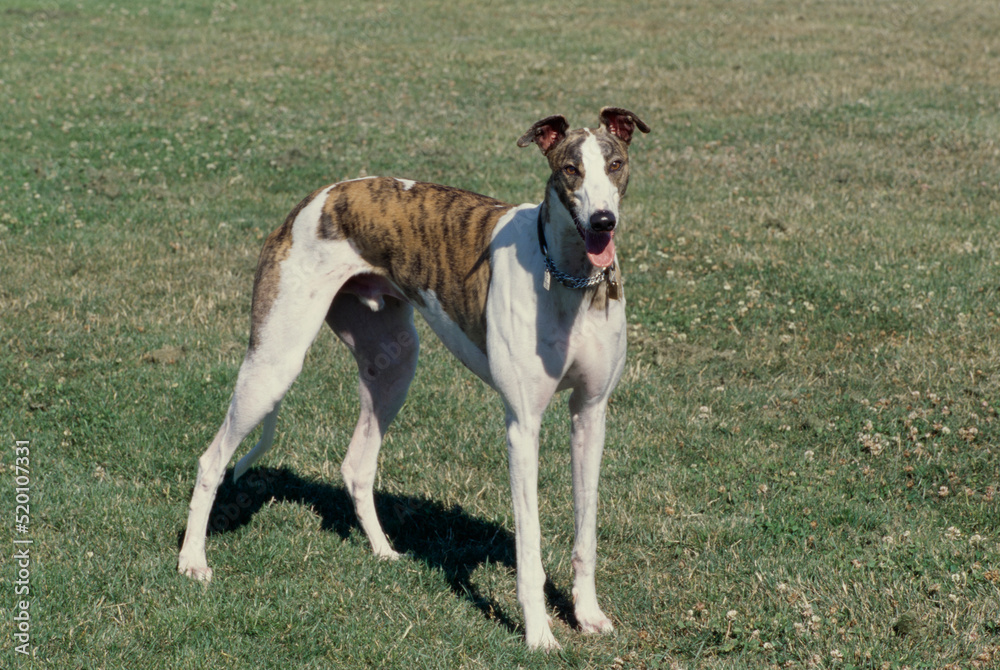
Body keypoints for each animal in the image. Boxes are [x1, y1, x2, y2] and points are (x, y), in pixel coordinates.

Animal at [179, 106, 648, 652]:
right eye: (570, 169)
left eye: (615, 164)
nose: (603, 222)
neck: (569, 279)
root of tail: (314, 199)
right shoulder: (522, 426)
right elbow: (529, 546)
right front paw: (539, 635)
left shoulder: (591, 415)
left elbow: (585, 532)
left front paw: (588, 615)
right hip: (274, 362)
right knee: (212, 460)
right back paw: (192, 561)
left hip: (395, 364)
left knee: (356, 466)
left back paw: (383, 551)